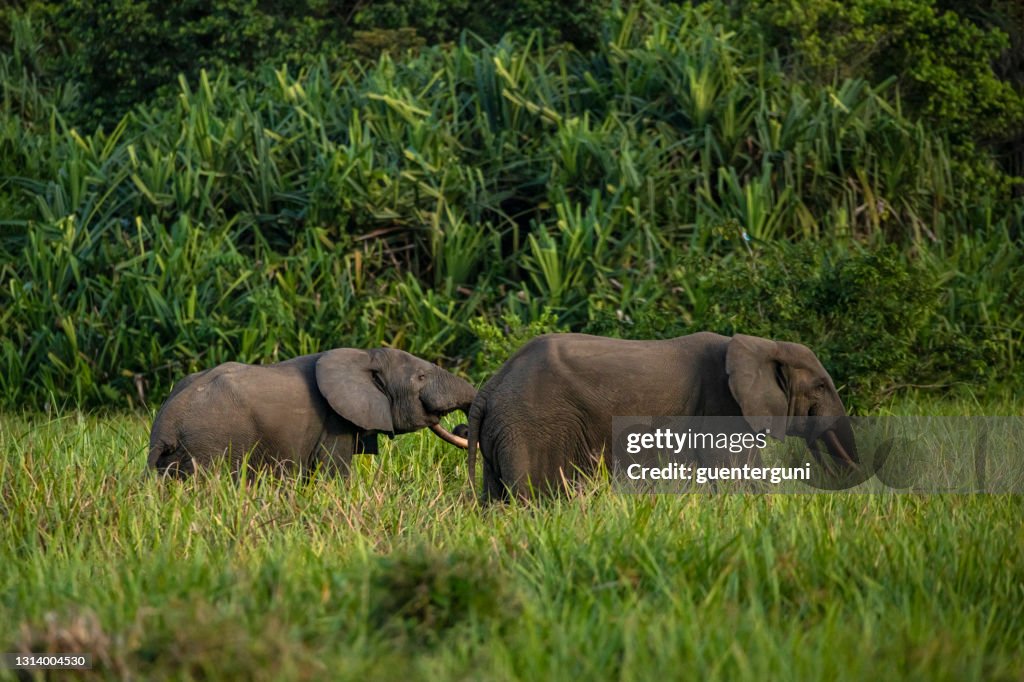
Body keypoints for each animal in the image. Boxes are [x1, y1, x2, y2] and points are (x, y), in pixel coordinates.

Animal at [148, 348, 476, 478]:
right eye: (420, 377)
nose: (461, 428)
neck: (365, 356)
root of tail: (164, 428)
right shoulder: (334, 423)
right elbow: (335, 475)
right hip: (210, 447)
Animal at [466, 332, 859, 500]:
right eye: (821, 386)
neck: (761, 344)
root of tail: (489, 388)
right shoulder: (721, 406)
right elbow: (739, 474)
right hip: (529, 429)